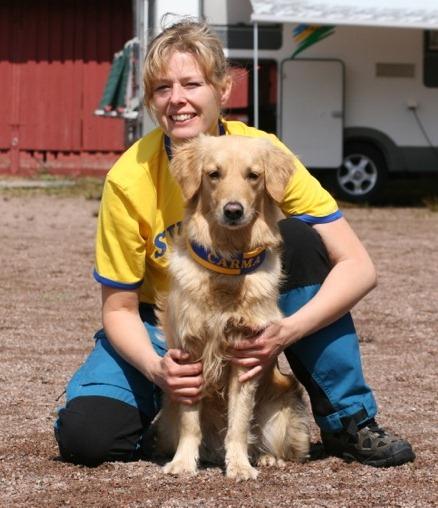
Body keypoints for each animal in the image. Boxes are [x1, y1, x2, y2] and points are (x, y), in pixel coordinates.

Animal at [156, 134, 310, 480]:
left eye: (253, 175)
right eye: (214, 174)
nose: (233, 210)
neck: (226, 265)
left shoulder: (245, 351)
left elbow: (239, 422)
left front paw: (239, 466)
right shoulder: (189, 352)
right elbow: (190, 422)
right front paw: (183, 463)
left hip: (280, 413)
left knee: (267, 441)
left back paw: (266, 458)